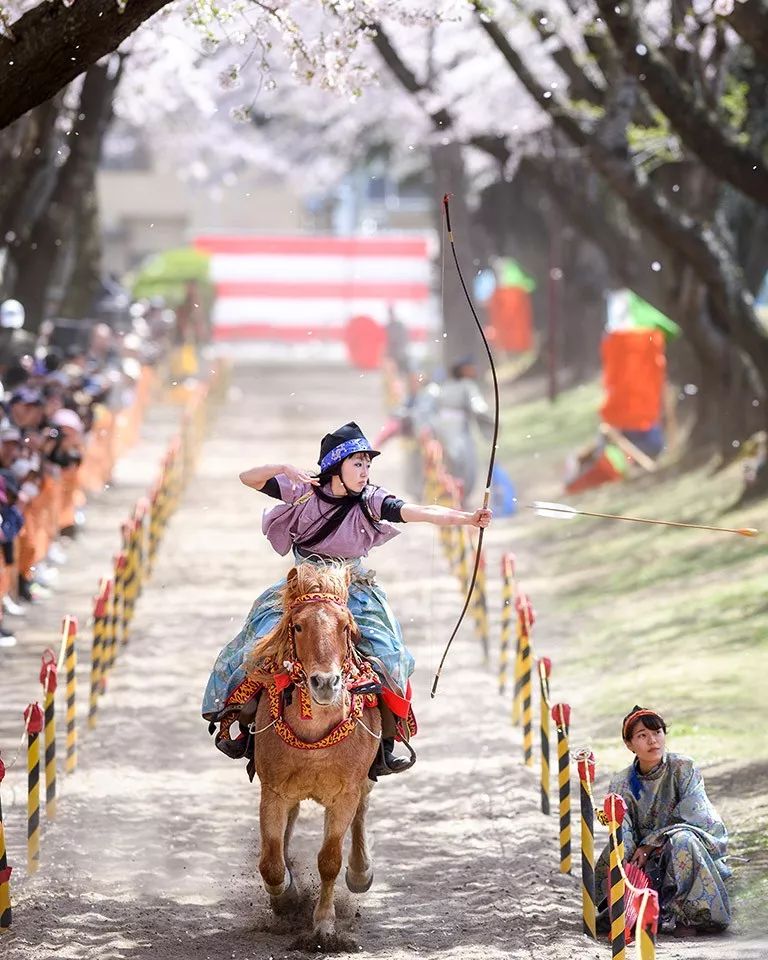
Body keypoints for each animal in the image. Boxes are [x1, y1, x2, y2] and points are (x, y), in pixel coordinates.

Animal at [246, 564, 380, 944]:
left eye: (345, 626)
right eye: (298, 626)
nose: (325, 683)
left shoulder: (344, 796)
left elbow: (329, 860)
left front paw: (323, 925)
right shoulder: (274, 792)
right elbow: (271, 864)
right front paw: (287, 898)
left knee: (363, 809)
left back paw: (360, 872)